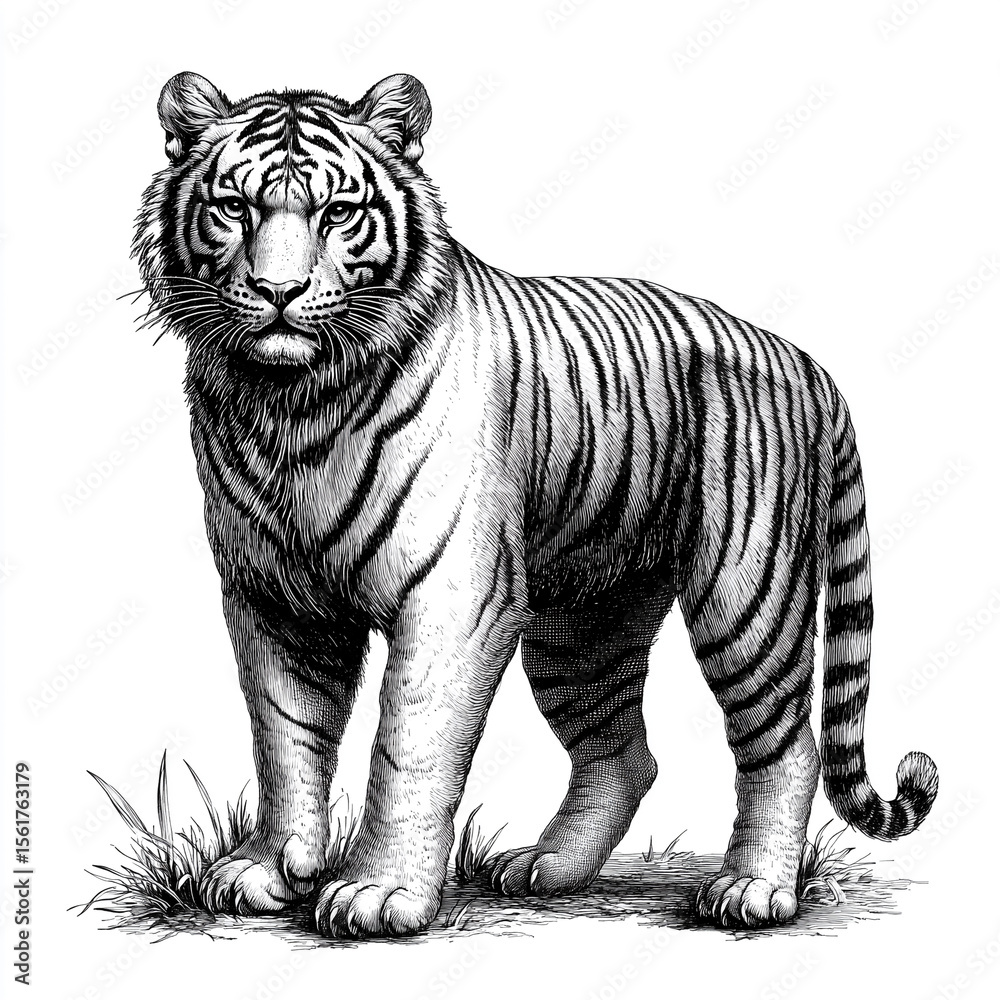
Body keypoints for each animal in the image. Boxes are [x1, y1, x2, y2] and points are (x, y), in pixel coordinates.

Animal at [133, 70, 938, 938]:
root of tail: (804, 361)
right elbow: (285, 741)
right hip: (581, 624)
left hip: (747, 598)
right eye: (234, 206)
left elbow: (407, 744)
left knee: (785, 746)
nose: (278, 292)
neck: (289, 403)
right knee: (624, 755)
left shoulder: (453, 596)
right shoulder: (273, 599)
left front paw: (379, 890)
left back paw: (752, 889)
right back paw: (547, 867)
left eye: (337, 213)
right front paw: (262, 869)